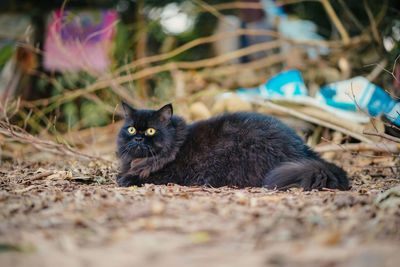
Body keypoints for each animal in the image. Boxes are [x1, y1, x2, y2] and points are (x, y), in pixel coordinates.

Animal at [117, 101, 348, 192]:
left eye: (150, 131)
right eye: (131, 129)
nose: (138, 139)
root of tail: (301, 148)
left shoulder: (172, 174)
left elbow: (144, 176)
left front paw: (126, 179)